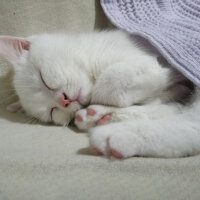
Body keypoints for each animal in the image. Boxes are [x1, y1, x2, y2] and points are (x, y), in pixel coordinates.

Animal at [0, 30, 199, 159]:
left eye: (44, 80)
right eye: (52, 111)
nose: (64, 101)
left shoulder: (146, 59)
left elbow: (108, 85)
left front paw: (173, 77)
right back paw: (100, 118)